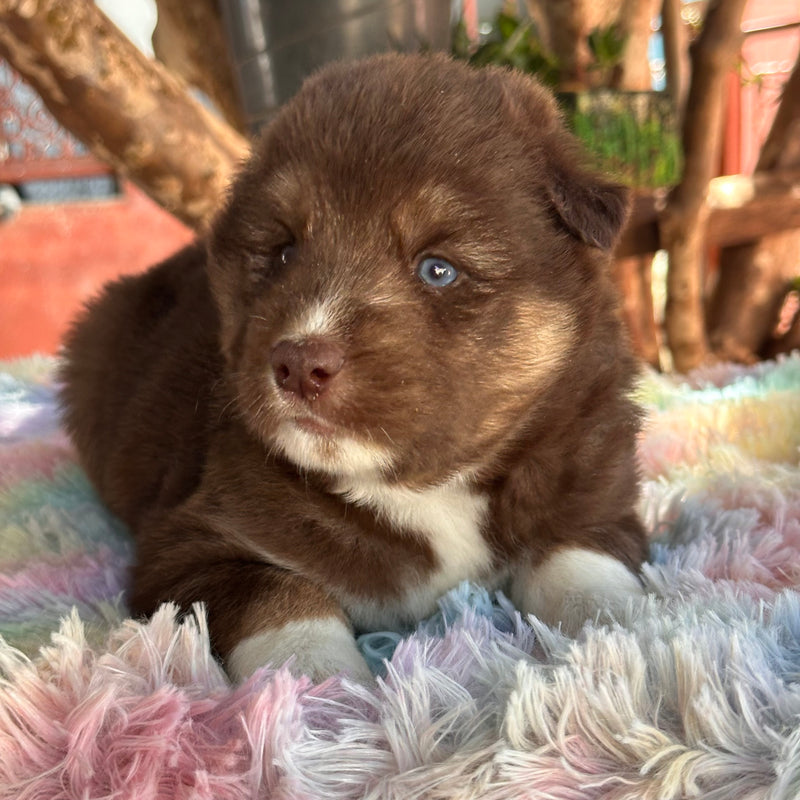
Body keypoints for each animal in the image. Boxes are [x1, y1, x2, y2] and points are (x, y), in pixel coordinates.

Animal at [61, 54, 648, 680]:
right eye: (285, 252)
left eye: (438, 269)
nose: (297, 365)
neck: (429, 490)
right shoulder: (188, 544)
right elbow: (280, 594)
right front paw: (317, 678)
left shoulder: (597, 492)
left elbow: (582, 565)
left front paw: (619, 633)